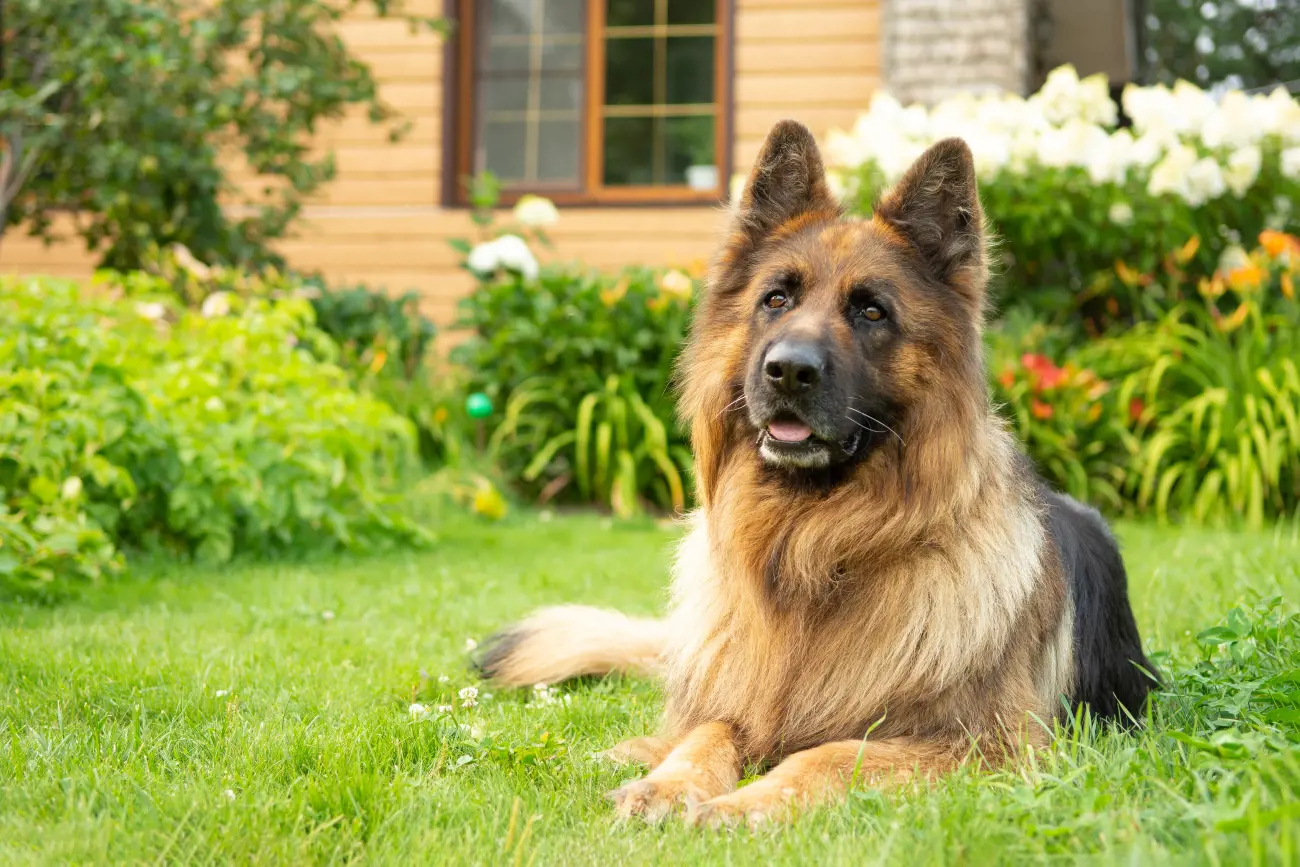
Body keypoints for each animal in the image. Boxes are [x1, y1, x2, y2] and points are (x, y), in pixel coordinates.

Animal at [478, 120, 1159, 826]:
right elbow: (707, 731)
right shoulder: (737, 700)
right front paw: (668, 783)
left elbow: (831, 754)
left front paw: (742, 805)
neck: (810, 546)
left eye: (871, 311)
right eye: (776, 299)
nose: (788, 371)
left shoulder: (987, 747)